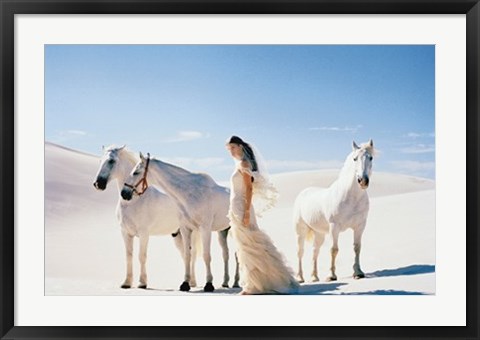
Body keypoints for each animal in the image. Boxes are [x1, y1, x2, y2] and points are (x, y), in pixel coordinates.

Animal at [93, 146, 200, 290]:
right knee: (185, 255)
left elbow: (141, 256)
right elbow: (129, 256)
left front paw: (142, 283)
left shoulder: (144, 234)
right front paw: (127, 282)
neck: (134, 200)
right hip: (178, 235)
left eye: (111, 161)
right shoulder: (125, 233)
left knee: (192, 255)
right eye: (100, 160)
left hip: (191, 234)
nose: (98, 184)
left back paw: (192, 282)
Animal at [121, 152, 239, 292]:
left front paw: (209, 284)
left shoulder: (205, 229)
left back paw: (237, 283)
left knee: (238, 254)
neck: (190, 193)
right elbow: (187, 255)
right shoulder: (185, 229)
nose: (124, 193)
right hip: (223, 232)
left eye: (136, 172)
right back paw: (226, 282)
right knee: (226, 254)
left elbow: (206, 255)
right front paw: (185, 284)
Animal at [292, 139, 376, 282]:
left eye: (370, 158)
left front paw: (358, 272)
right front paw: (331, 275)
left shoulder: (359, 226)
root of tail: (303, 193)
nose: (363, 181)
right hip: (300, 231)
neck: (351, 197)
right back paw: (300, 277)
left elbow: (357, 248)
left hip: (319, 234)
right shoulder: (334, 227)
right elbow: (334, 250)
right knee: (300, 252)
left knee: (315, 251)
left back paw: (314, 277)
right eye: (354, 158)